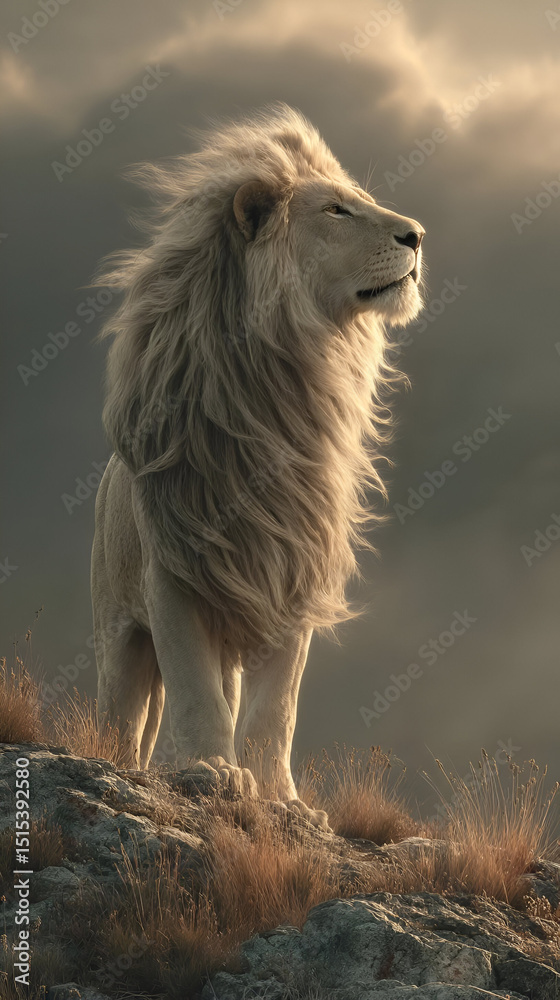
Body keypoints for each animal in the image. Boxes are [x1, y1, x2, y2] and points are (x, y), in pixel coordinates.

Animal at [91, 103, 424, 829]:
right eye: (336, 209)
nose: (417, 235)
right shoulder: (175, 576)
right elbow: (195, 691)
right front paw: (212, 773)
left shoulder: (286, 571)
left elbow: (276, 711)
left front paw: (282, 800)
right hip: (116, 619)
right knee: (121, 712)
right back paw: (116, 767)